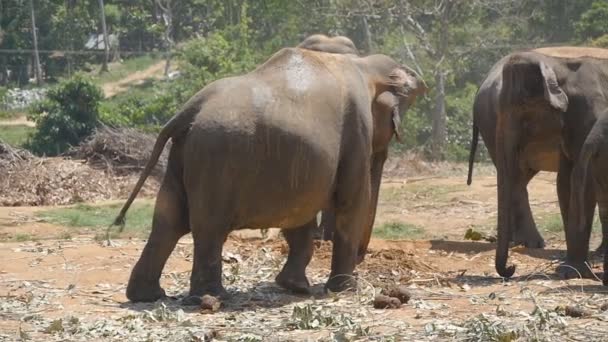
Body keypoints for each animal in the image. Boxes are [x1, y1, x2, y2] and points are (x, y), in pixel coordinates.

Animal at [114, 40, 428, 304]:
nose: (363, 261)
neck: (363, 64)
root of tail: (188, 110)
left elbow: (300, 213)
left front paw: (295, 287)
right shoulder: (357, 131)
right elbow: (351, 202)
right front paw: (345, 290)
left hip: (183, 155)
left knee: (167, 221)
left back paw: (148, 296)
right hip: (215, 159)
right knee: (208, 227)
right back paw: (212, 298)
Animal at [472, 47, 608, 278]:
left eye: (523, 108)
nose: (511, 268)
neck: (558, 63)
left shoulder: (590, 112)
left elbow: (580, 180)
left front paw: (571, 270)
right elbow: (567, 183)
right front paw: (570, 270)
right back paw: (531, 243)